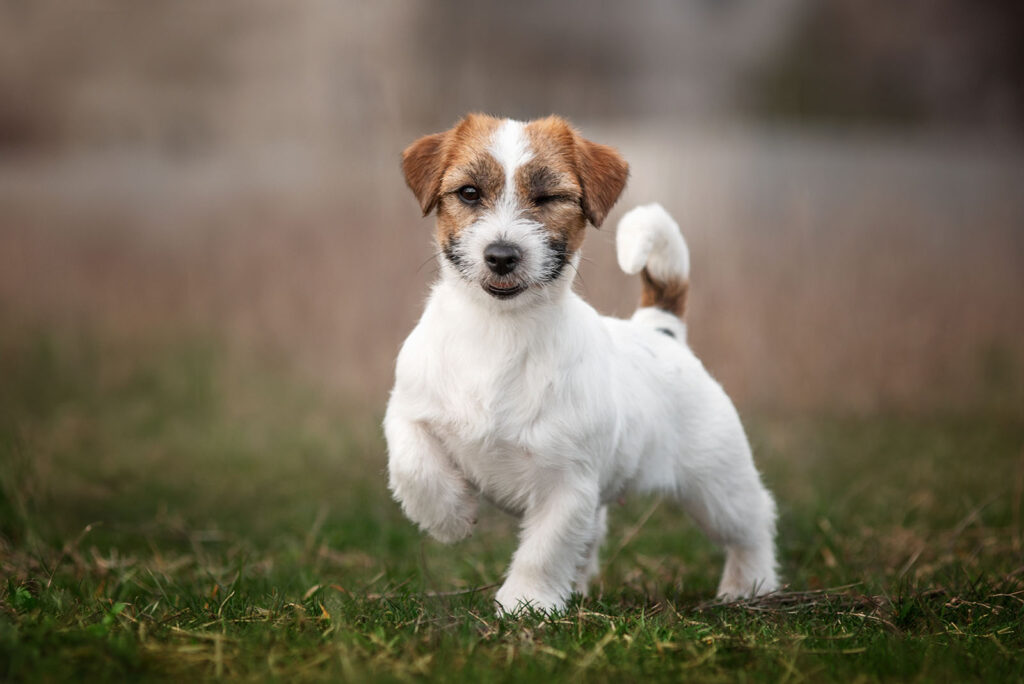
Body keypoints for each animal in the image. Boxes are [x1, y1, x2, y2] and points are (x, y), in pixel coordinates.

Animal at [385, 113, 774, 614]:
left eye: (548, 198)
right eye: (469, 192)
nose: (502, 256)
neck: (498, 331)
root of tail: (661, 330)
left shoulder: (566, 483)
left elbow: (544, 549)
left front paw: (525, 604)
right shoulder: (407, 412)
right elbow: (414, 468)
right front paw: (450, 518)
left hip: (717, 487)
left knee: (754, 521)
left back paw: (750, 585)